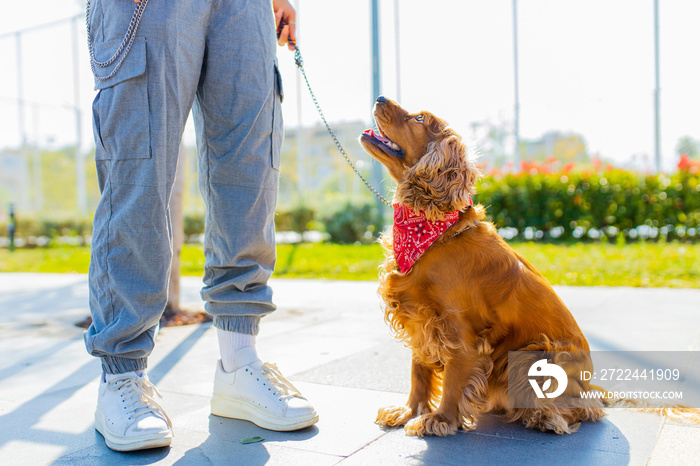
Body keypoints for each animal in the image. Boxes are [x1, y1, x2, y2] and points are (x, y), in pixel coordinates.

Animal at [358, 97, 604, 436]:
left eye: (419, 118)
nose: (380, 98)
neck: (435, 231)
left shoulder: (458, 329)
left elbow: (452, 379)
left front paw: (440, 419)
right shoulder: (419, 317)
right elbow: (419, 370)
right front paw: (409, 410)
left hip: (530, 353)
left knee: (585, 410)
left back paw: (543, 417)